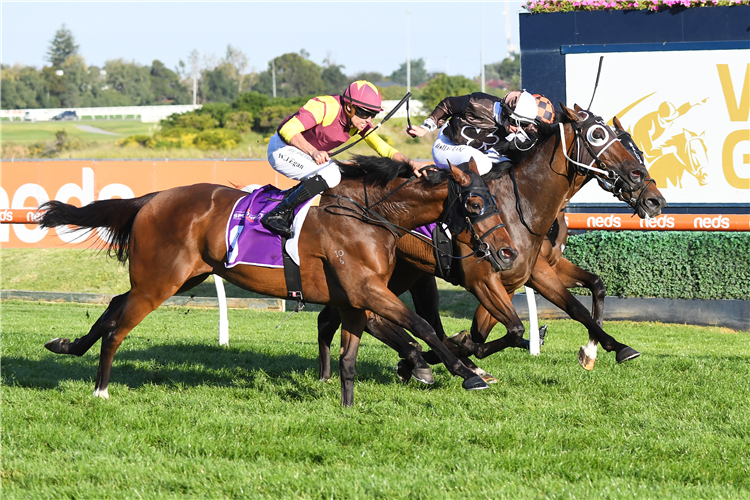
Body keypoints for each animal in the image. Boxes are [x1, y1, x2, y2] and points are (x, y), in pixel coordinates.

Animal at [36, 160, 516, 406]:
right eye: (475, 203)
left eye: (495, 200)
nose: (509, 252)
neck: (370, 217)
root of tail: (151, 198)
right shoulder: (368, 291)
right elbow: (423, 327)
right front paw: (465, 373)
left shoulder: (355, 299)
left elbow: (351, 358)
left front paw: (348, 407)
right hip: (160, 282)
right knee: (118, 327)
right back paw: (100, 389)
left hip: (182, 275)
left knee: (114, 304)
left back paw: (67, 345)